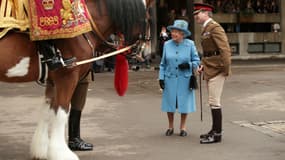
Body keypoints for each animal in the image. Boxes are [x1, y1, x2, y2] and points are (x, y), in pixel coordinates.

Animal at [0, 0, 146, 159]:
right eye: (145, 18)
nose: (139, 51)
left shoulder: (53, 82)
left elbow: (47, 111)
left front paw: (41, 150)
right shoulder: (67, 77)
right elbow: (62, 112)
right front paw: (61, 153)